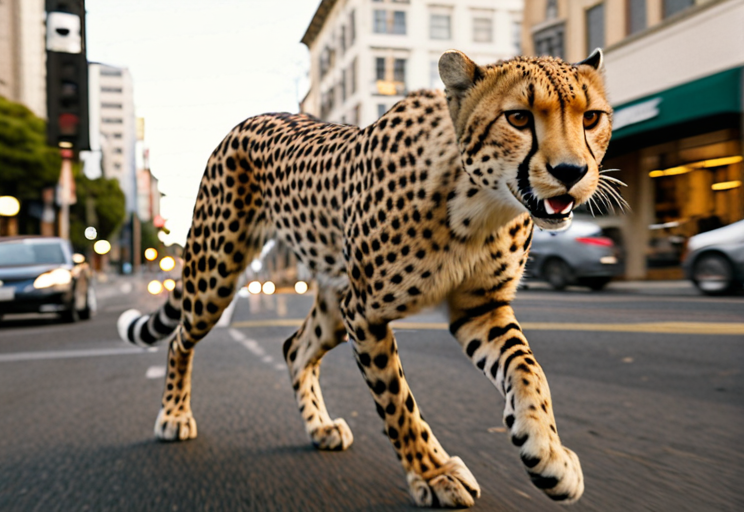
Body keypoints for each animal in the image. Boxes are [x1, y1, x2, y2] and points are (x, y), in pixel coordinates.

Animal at [117, 50, 616, 506]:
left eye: (591, 117)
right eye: (518, 117)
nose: (571, 172)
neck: (476, 204)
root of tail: (249, 120)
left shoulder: (479, 308)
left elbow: (527, 369)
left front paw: (548, 455)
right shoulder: (367, 315)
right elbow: (398, 403)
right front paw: (434, 474)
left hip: (333, 302)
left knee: (295, 347)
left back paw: (319, 426)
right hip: (216, 272)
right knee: (180, 338)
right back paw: (173, 415)